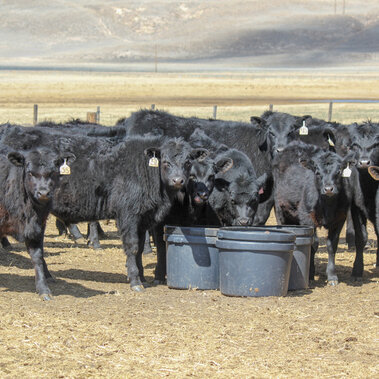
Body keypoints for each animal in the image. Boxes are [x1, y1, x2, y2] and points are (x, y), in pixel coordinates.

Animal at [0, 148, 75, 300]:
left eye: (53, 172)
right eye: (30, 172)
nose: (43, 193)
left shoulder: (38, 227)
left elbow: (37, 256)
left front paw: (43, 288)